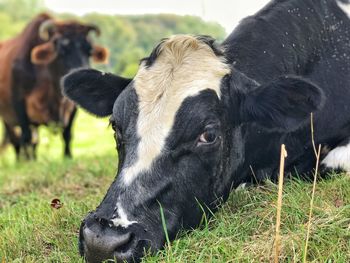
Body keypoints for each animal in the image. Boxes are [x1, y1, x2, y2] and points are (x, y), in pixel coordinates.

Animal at [0, 13, 108, 160]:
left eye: (89, 50)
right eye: (62, 50)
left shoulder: (73, 106)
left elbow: (67, 134)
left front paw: (67, 156)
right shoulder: (19, 102)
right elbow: (26, 136)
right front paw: (28, 162)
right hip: (6, 117)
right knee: (16, 140)